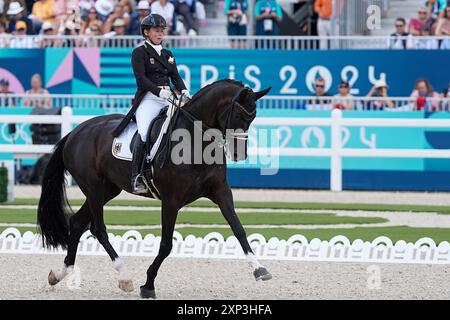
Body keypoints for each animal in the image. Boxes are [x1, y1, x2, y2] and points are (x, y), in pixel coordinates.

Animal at [37, 79, 272, 298]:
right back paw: (124, 277)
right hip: (93, 188)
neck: (195, 142)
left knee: (77, 223)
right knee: (98, 229)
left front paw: (260, 269)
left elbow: (239, 229)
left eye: (252, 117)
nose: (239, 154)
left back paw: (59, 274)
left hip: (107, 190)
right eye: (239, 115)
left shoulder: (221, 192)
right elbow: (166, 245)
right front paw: (148, 285)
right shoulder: (171, 201)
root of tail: (76, 131)